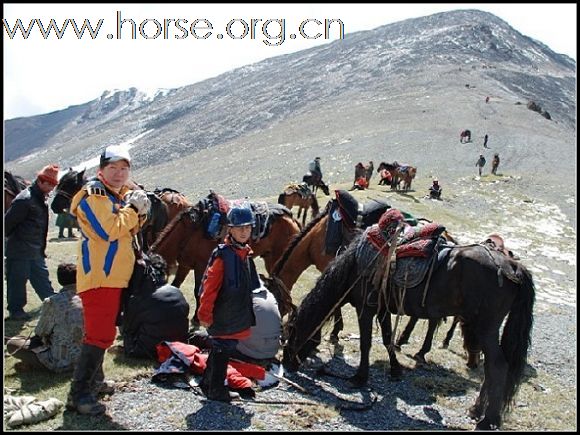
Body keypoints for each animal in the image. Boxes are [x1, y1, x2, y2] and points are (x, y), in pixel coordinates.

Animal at [151, 201, 300, 324]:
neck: (187, 232)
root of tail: (292, 219)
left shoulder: (200, 267)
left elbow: (198, 291)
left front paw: (196, 318)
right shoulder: (184, 265)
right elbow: (176, 285)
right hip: (269, 258)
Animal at [284, 228, 536, 430]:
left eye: (291, 334)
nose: (287, 364)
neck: (356, 267)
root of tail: (512, 266)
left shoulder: (366, 308)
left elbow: (366, 343)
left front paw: (359, 377)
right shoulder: (383, 308)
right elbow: (387, 339)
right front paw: (395, 371)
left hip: (485, 328)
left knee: (497, 366)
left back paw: (487, 420)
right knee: (491, 369)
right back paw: (476, 410)